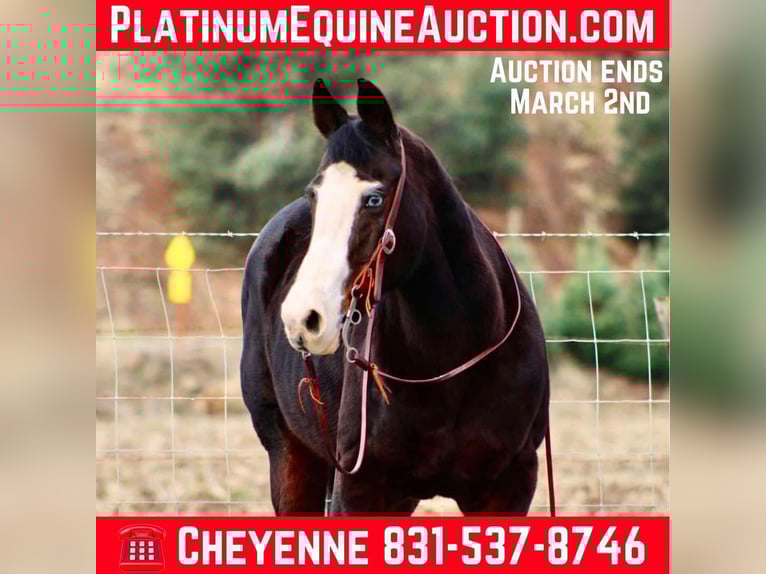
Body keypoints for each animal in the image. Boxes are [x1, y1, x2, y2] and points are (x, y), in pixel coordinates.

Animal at [240, 78, 550, 514]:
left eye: (374, 198)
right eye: (314, 196)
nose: (303, 318)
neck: (453, 358)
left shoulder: (509, 486)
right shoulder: (360, 488)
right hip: (289, 455)